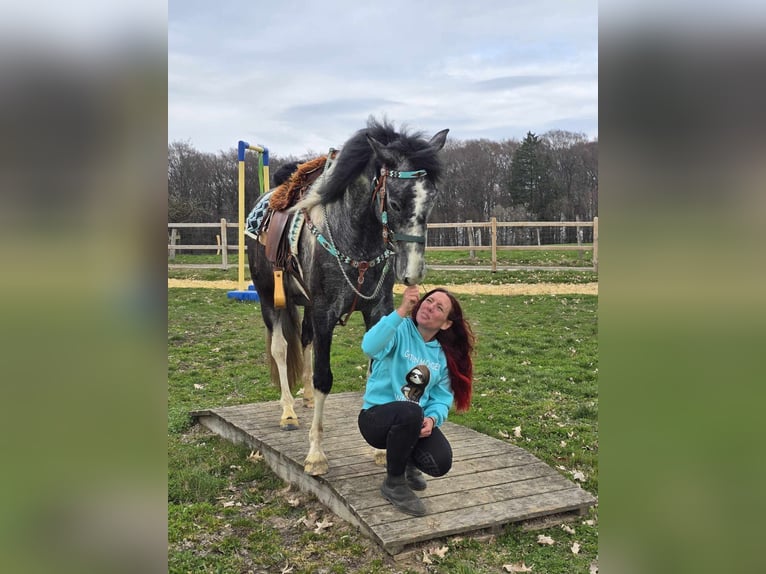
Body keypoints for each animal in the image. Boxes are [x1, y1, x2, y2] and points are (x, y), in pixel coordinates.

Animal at [246, 117, 449, 475]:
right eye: (395, 204)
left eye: (432, 201)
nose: (412, 272)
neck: (357, 239)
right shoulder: (325, 312)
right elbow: (324, 377)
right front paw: (316, 454)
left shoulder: (377, 312)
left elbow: (375, 371)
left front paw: (380, 448)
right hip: (269, 299)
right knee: (281, 348)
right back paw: (288, 412)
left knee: (304, 340)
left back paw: (305, 398)